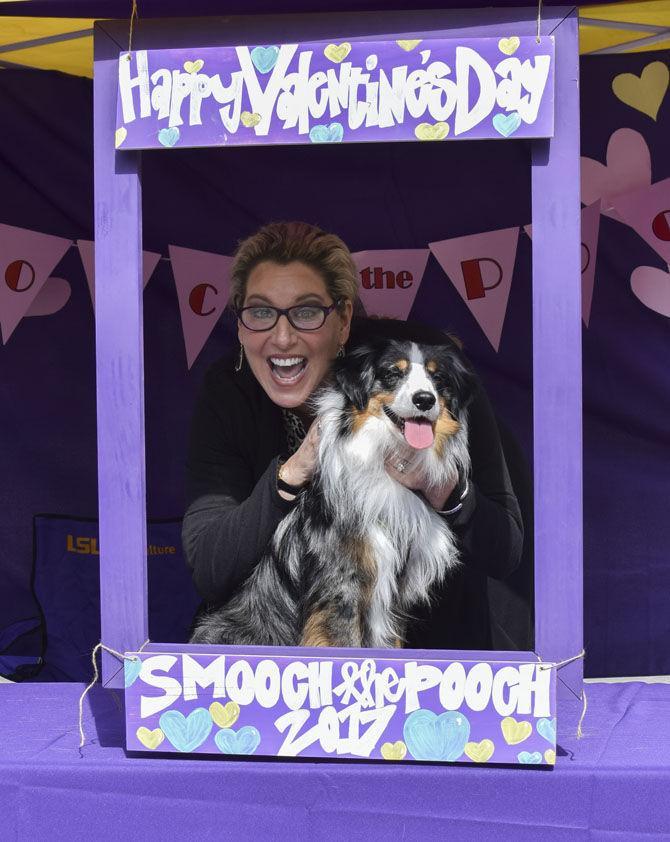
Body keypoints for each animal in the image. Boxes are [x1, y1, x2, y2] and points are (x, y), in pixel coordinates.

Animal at [189, 338, 478, 648]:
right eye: (392, 373)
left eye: (438, 378)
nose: (425, 399)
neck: (387, 452)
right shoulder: (342, 583)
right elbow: (345, 641)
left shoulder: (396, 595)